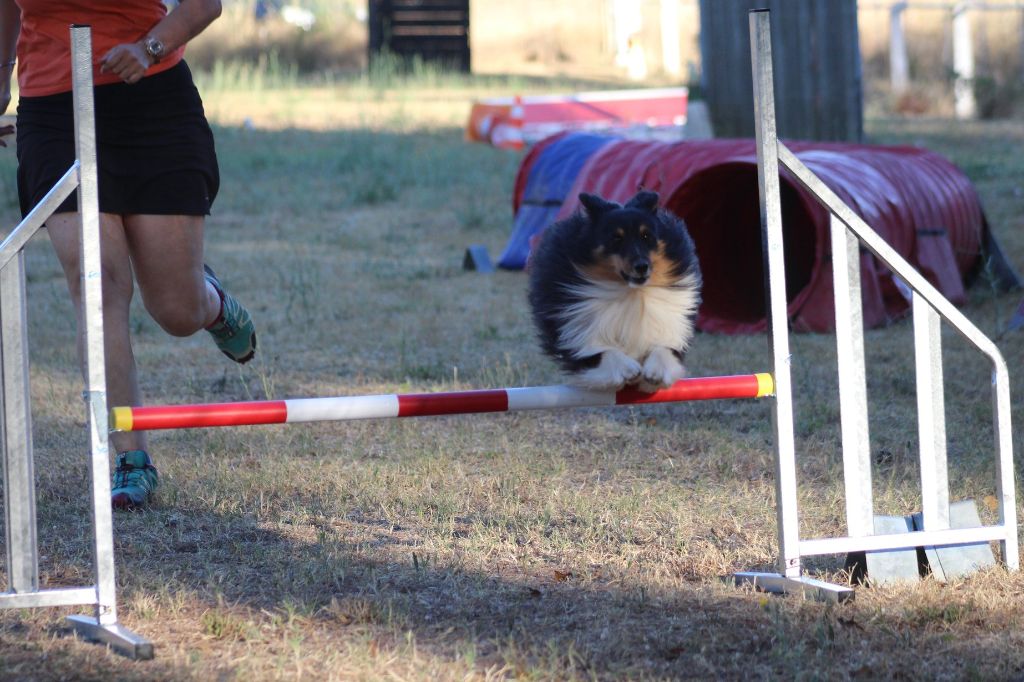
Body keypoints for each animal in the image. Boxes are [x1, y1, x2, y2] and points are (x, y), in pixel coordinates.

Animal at [528, 191, 704, 391]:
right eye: (616, 238)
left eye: (646, 236)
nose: (641, 267)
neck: (631, 292)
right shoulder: (574, 336)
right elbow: (600, 353)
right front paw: (627, 368)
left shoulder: (671, 328)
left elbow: (666, 348)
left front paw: (655, 371)